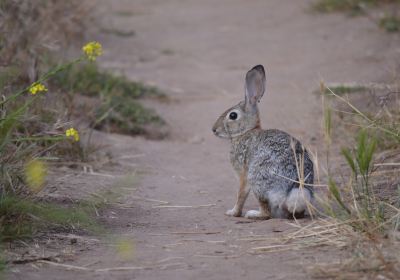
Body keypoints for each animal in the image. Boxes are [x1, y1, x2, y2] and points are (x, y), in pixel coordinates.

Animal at [211, 65, 314, 219]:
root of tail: (291, 190)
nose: (214, 130)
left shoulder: (243, 174)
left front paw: (233, 212)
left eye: (233, 115)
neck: (246, 131)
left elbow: (241, 194)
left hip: (257, 179)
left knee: (266, 213)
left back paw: (253, 214)